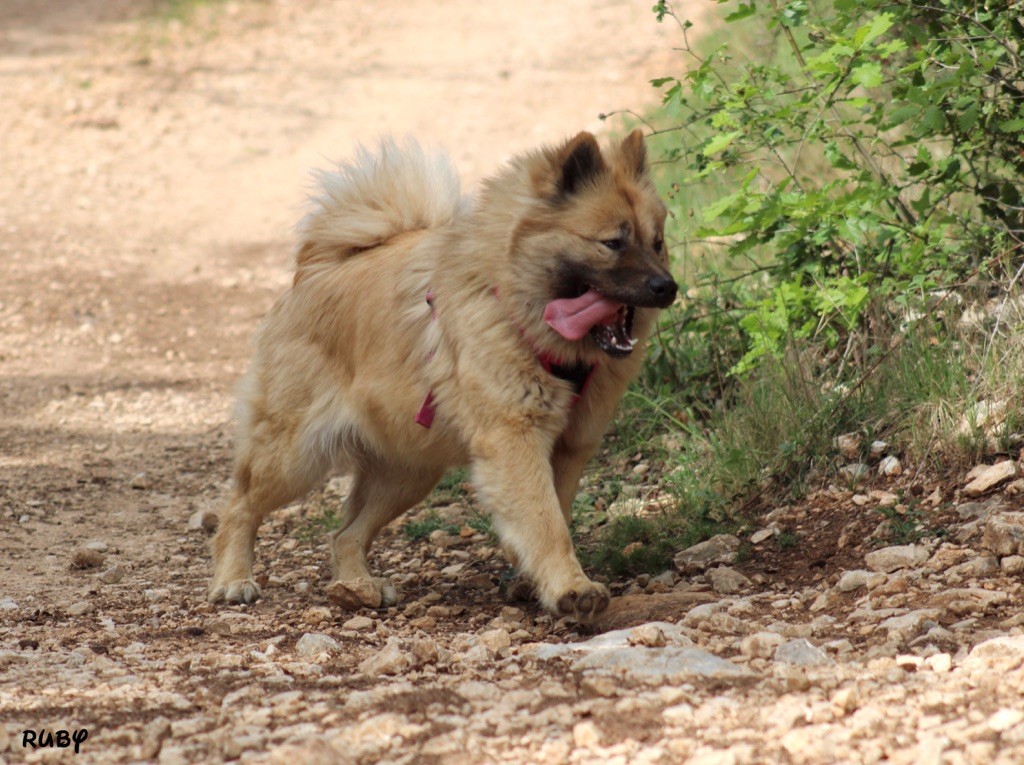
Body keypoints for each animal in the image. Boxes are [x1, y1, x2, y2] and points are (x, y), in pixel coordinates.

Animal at [208, 130, 675, 622]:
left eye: (657, 242)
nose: (667, 287)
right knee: (239, 508)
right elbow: (547, 523)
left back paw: (358, 585)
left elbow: (555, 513)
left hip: (407, 473)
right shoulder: (515, 439)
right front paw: (571, 587)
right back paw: (233, 580)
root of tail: (315, 269)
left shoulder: (569, 448)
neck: (518, 310)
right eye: (612, 243)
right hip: (293, 458)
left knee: (344, 534)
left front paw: (534, 579)